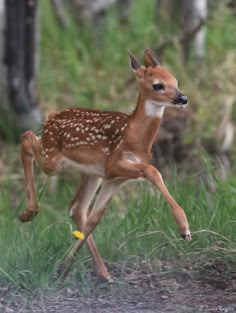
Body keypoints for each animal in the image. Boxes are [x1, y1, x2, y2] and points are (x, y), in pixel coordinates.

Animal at [19, 48, 190, 280]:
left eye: (176, 80)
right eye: (158, 85)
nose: (183, 98)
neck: (134, 136)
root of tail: (50, 117)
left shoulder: (115, 178)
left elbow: (95, 218)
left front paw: (66, 267)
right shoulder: (113, 163)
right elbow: (152, 170)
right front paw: (184, 229)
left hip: (90, 173)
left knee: (77, 208)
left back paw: (95, 271)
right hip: (52, 159)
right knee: (26, 137)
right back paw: (28, 213)